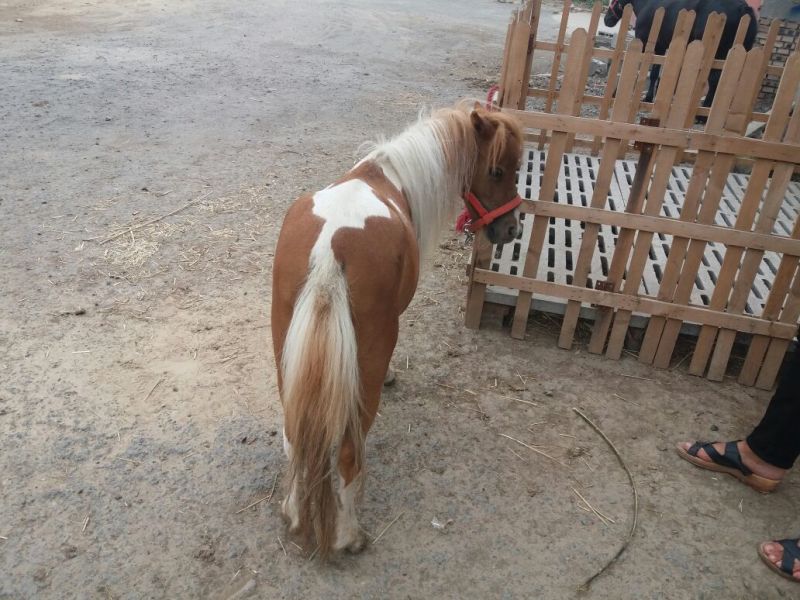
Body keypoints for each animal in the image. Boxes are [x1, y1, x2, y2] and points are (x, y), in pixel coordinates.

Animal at [270, 102, 524, 557]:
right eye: (499, 170)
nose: (511, 229)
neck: (389, 175)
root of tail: (331, 250)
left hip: (286, 352)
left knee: (295, 437)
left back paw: (294, 514)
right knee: (349, 453)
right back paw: (349, 537)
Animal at [604, 0, 758, 107]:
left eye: (614, 0)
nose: (607, 20)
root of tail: (744, 8)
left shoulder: (644, 43)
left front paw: (617, 93)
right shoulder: (660, 48)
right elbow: (654, 74)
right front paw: (648, 98)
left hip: (718, 55)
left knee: (715, 80)